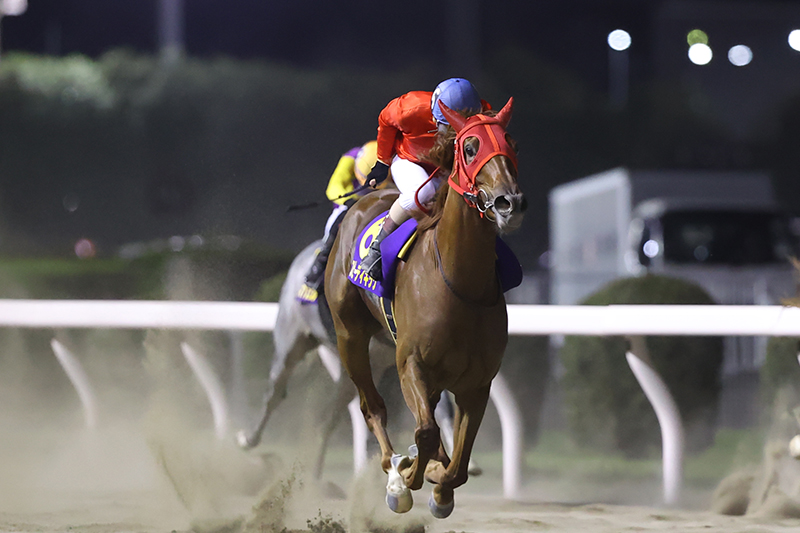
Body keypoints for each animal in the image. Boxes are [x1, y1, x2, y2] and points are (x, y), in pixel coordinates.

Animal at [325, 98, 524, 518]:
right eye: (470, 147)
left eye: (512, 142)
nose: (510, 202)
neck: (459, 282)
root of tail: (369, 198)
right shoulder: (411, 363)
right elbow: (427, 432)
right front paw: (407, 479)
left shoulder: (477, 382)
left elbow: (459, 461)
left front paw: (439, 487)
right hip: (350, 335)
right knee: (373, 407)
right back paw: (394, 470)